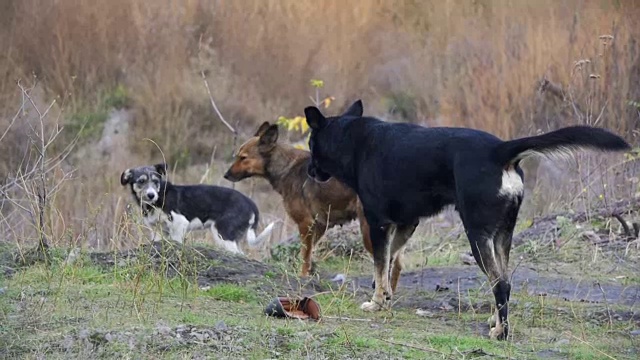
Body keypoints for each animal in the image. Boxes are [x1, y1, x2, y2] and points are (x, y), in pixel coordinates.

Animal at [120, 163, 276, 253]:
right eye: (141, 181)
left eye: (155, 181)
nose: (151, 195)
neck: (159, 199)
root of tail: (251, 204)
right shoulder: (158, 231)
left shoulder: (179, 224)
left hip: (222, 233)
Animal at [222, 121, 400, 282]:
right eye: (238, 156)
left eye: (243, 158)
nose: (226, 175)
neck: (286, 167)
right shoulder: (319, 225)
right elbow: (309, 254)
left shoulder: (305, 223)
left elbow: (305, 256)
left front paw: (303, 276)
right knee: (397, 263)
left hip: (369, 231)